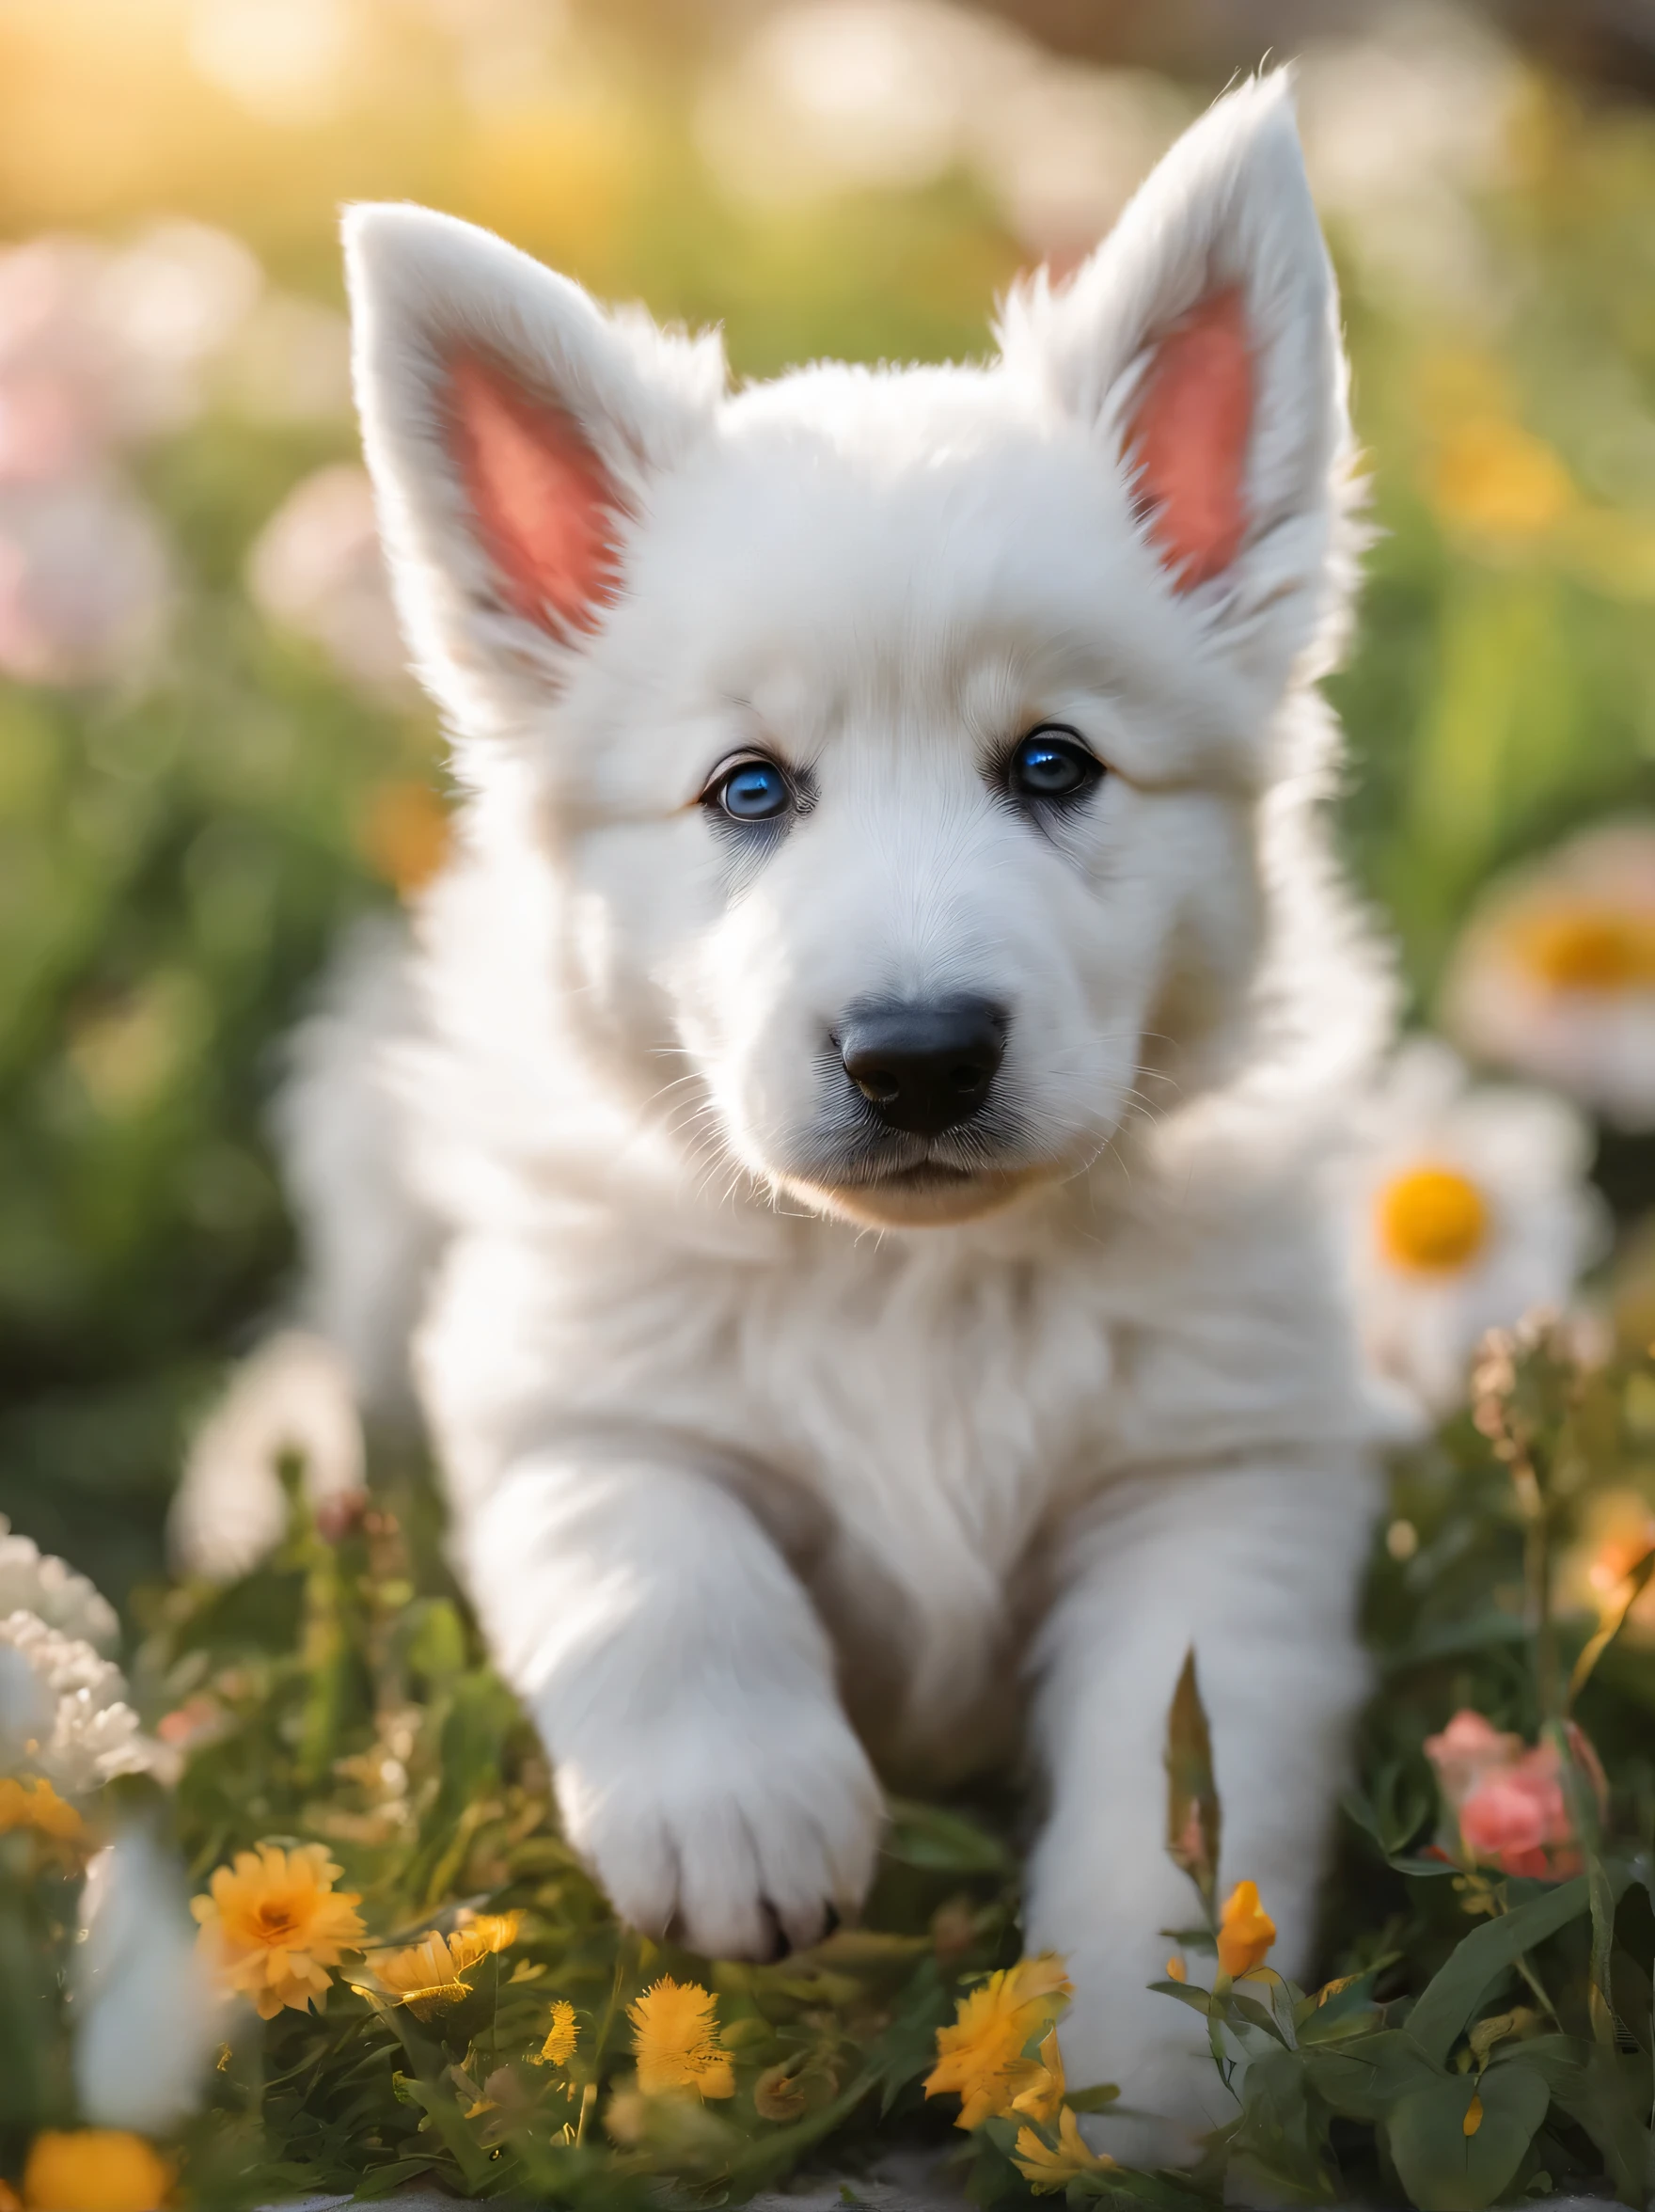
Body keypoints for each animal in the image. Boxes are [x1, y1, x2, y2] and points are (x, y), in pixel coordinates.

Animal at [287, 77, 1398, 2150]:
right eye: (749, 788)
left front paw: (1139, 2061)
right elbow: (654, 1556)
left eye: (1053, 763)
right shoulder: (564, 1380)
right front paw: (738, 1813)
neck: (919, 1285)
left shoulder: (1218, 1481)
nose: (918, 1054)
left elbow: (1179, 1776)